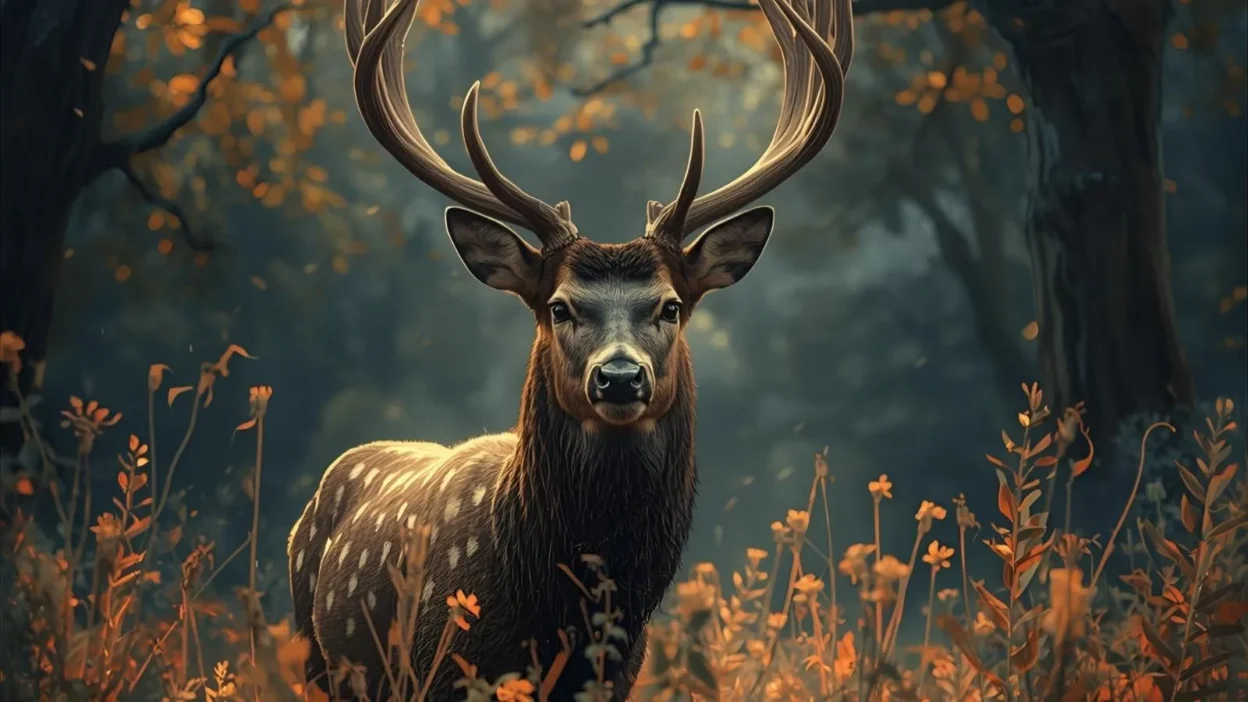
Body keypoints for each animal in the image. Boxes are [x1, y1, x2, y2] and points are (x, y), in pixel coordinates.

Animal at [287, 0, 853, 698]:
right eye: (559, 307)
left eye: (670, 306)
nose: (619, 377)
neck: (557, 613)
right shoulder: (441, 664)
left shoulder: (619, 675)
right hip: (317, 657)